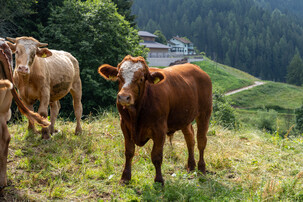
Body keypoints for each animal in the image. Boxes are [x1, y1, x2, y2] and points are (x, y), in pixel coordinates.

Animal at [98, 55, 213, 185]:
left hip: (205, 112)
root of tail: (196, 68)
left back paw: (201, 169)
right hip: (184, 117)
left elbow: (156, 156)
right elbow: (129, 152)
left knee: (201, 141)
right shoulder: (125, 126)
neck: (136, 114)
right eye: (119, 76)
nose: (123, 97)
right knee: (190, 139)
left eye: (141, 78)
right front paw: (125, 177)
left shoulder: (160, 129)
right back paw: (191, 166)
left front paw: (158, 180)